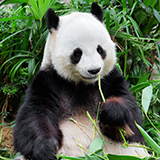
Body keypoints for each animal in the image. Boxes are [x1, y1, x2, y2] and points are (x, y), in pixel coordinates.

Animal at [13, 2, 148, 160]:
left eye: (100, 49)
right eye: (77, 53)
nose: (94, 70)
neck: (82, 84)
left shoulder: (110, 79)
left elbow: (133, 123)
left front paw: (113, 112)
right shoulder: (49, 81)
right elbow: (34, 117)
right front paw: (45, 149)